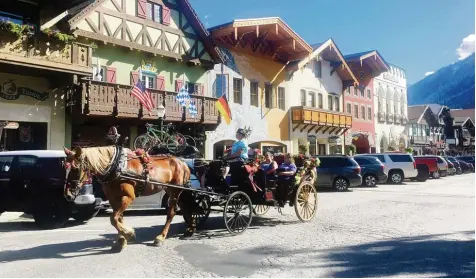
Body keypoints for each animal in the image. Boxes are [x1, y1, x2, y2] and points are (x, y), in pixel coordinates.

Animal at [63, 145, 195, 253]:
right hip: (172, 190)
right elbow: (118, 218)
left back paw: (160, 237)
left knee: (171, 213)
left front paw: (129, 234)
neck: (116, 167)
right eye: (65, 167)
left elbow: (113, 218)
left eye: (75, 168)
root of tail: (183, 163)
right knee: (185, 208)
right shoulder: (113, 199)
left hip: (175, 191)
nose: (67, 194)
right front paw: (122, 240)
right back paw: (190, 229)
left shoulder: (128, 197)